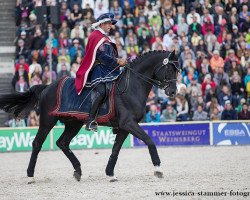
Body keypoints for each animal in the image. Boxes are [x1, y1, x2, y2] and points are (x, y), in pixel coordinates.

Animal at [0, 50, 180, 183]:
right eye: (169, 70)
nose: (173, 92)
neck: (132, 86)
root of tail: (47, 86)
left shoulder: (125, 126)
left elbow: (115, 149)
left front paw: (110, 173)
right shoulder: (128, 123)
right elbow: (149, 141)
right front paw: (158, 169)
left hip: (73, 123)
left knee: (62, 142)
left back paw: (78, 170)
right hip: (47, 121)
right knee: (37, 143)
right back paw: (30, 176)